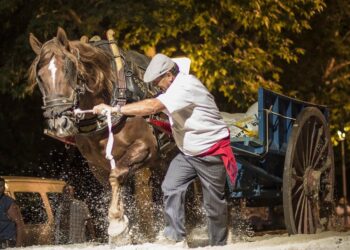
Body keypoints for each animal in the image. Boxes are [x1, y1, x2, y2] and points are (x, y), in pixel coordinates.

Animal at [27, 27, 170, 244]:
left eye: (68, 70)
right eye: (40, 76)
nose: (59, 122)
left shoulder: (145, 146)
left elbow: (116, 176)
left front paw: (117, 224)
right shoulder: (97, 165)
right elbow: (115, 185)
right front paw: (125, 229)